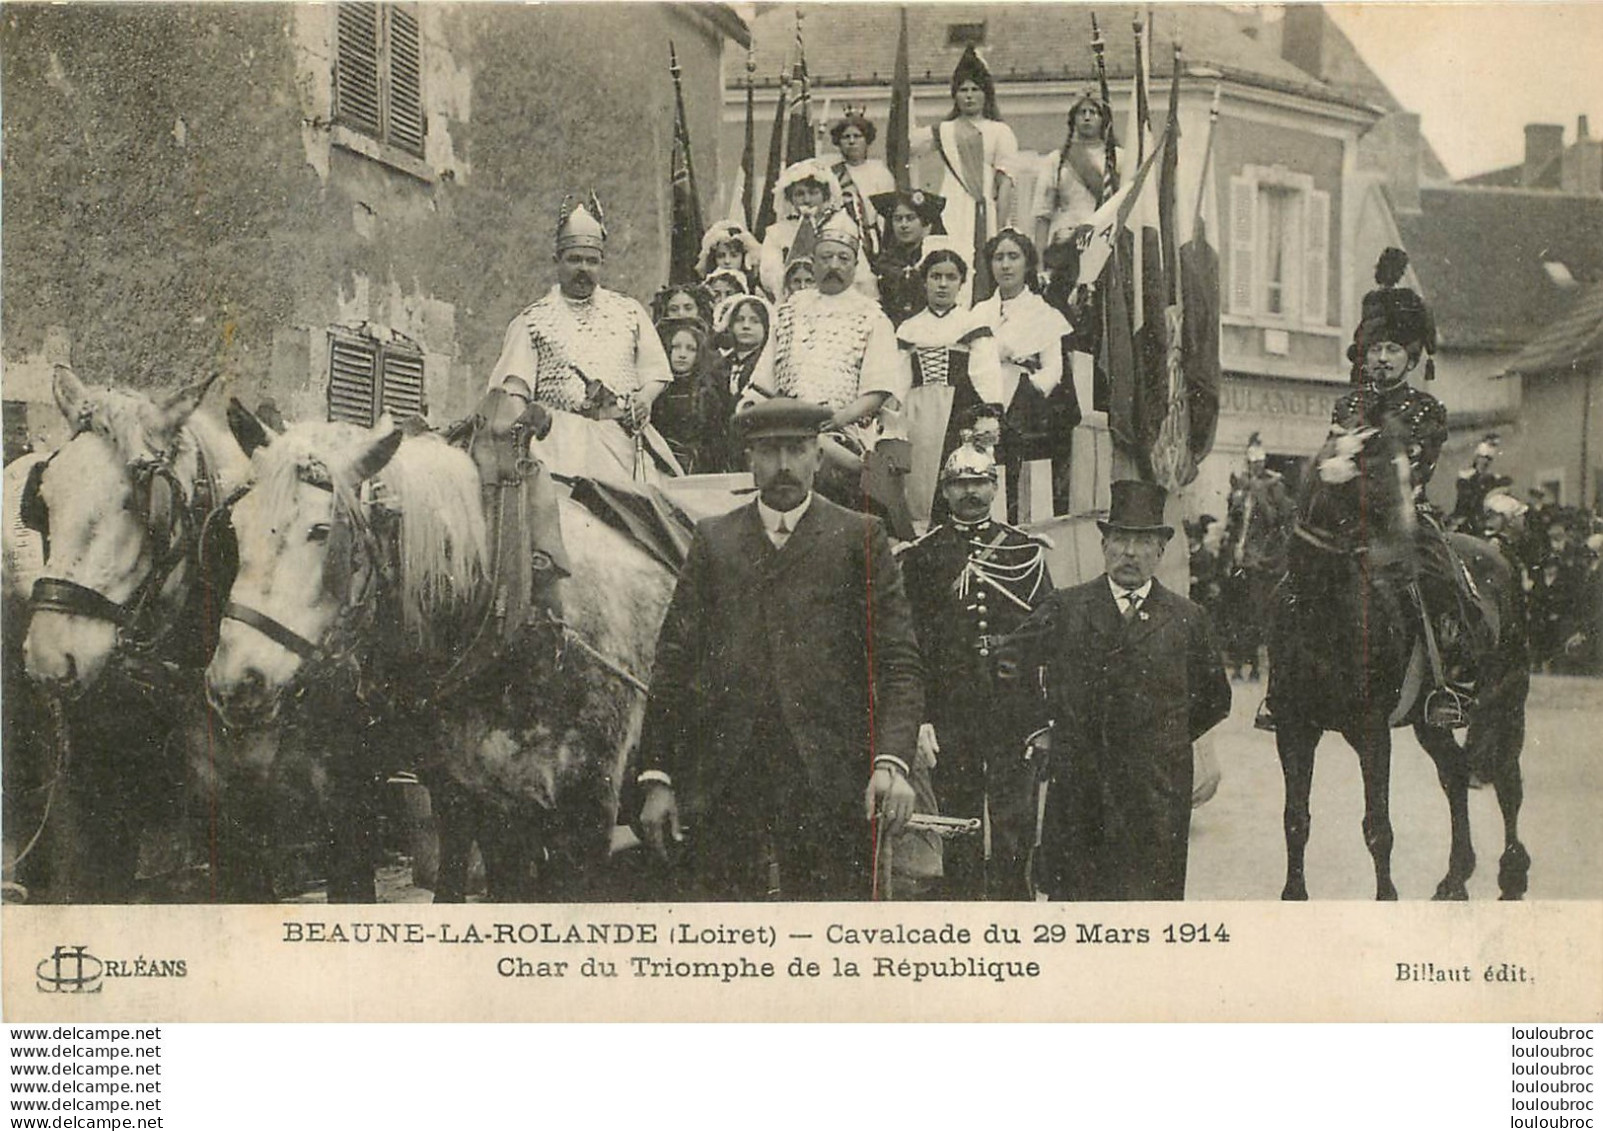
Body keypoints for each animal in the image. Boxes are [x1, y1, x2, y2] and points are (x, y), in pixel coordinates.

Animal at [1263, 413, 1526, 897]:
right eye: (1372, 479)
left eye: (1411, 473)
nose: (1407, 558)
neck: (1322, 615)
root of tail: (1499, 553)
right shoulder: (1293, 728)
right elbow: (1295, 820)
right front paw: (1294, 894)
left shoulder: (1371, 732)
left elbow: (1377, 827)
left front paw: (1386, 896)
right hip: (1429, 720)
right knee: (1455, 773)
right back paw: (1455, 877)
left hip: (1508, 697)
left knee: (1508, 781)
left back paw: (1512, 876)